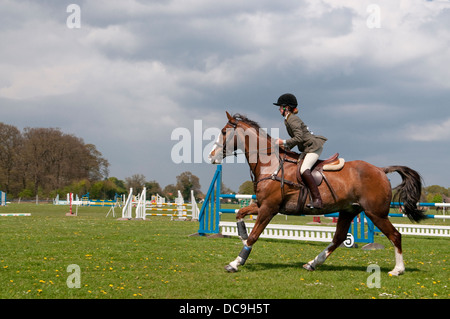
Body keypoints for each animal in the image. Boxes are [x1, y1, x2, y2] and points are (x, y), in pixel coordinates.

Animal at [207, 112, 426, 278]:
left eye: (224, 132)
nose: (211, 157)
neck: (271, 163)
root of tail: (381, 170)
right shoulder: (262, 205)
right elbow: (240, 213)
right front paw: (241, 236)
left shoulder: (269, 208)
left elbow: (254, 235)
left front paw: (236, 262)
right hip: (349, 211)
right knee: (338, 238)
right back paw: (312, 263)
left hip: (375, 213)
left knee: (395, 235)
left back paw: (397, 270)